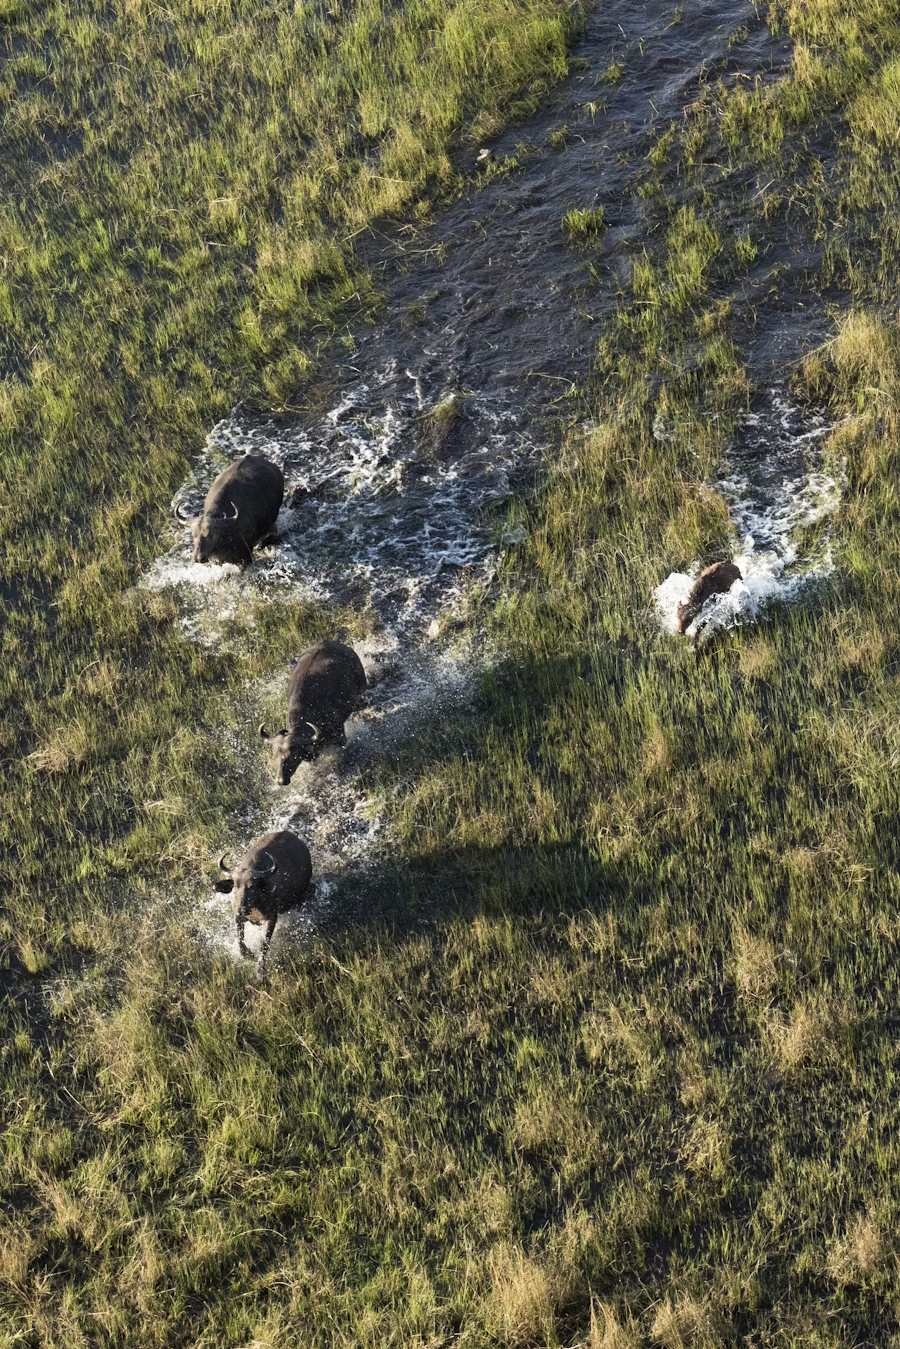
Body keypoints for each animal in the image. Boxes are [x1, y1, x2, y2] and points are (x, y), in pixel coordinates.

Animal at [214, 829, 312, 977]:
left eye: (251, 886)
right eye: (235, 885)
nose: (242, 909)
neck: (255, 905)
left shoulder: (271, 919)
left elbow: (264, 943)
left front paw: (260, 971)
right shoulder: (237, 916)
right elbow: (239, 936)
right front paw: (248, 955)